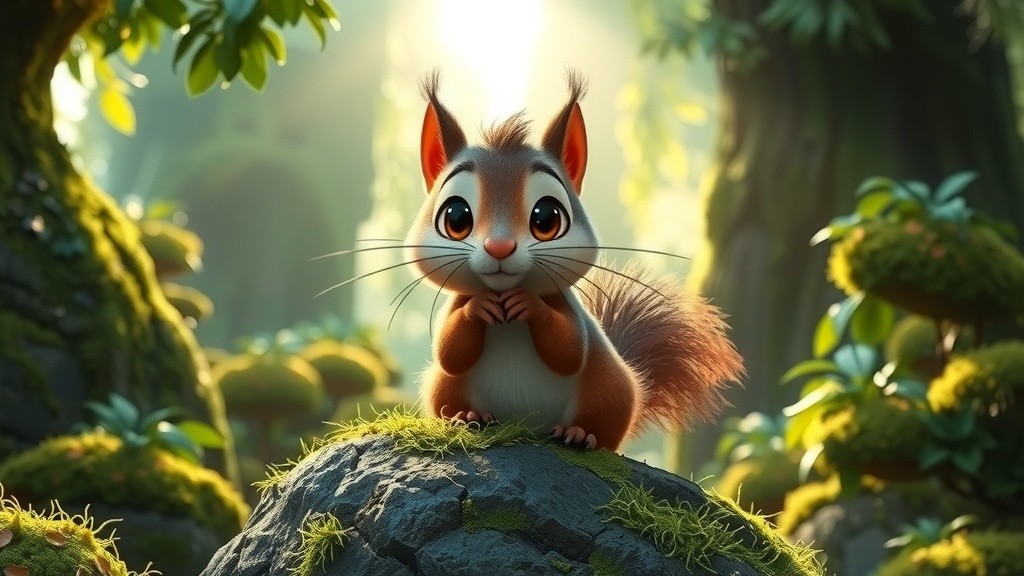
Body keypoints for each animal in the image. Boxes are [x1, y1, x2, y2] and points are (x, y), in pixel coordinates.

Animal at [404, 71, 744, 451]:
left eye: (547, 217)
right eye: (456, 217)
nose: (500, 247)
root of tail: (527, 426)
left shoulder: (567, 307)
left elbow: (568, 351)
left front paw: (529, 303)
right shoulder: (455, 311)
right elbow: (450, 351)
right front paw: (480, 306)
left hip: (609, 387)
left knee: (601, 424)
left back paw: (580, 434)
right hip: (443, 386)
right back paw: (468, 416)